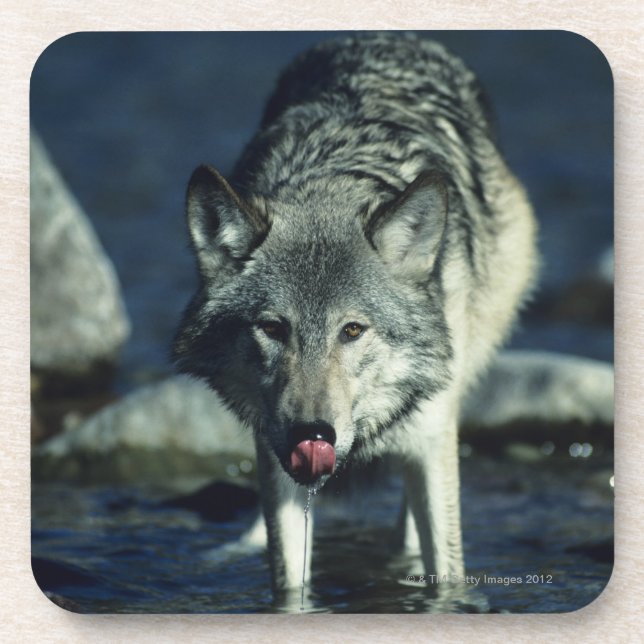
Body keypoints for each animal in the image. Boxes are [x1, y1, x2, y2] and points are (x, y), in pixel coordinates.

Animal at [173, 32, 538, 594]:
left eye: (352, 330)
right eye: (273, 328)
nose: (312, 434)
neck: (330, 186)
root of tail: (388, 38)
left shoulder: (431, 439)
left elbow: (448, 571)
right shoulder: (274, 457)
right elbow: (289, 579)